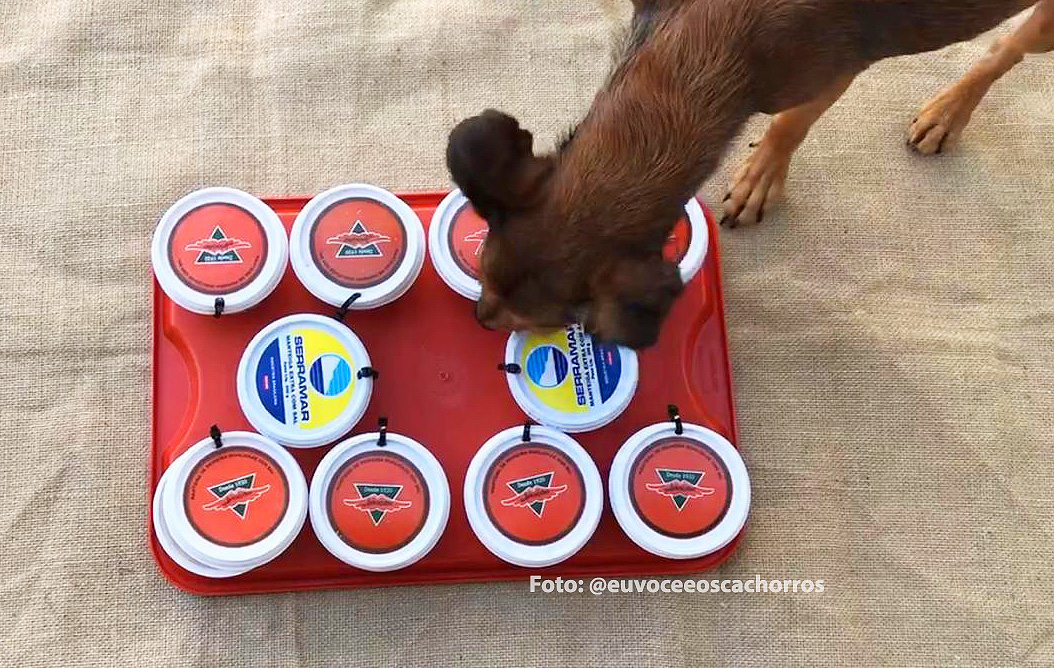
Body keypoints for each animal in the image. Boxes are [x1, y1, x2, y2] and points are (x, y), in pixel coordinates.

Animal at [446, 1, 1054, 347]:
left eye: (541, 321)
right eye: (483, 273)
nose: (477, 318)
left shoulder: (829, 74)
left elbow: (791, 125)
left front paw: (761, 177)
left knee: (1007, 49)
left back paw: (949, 110)